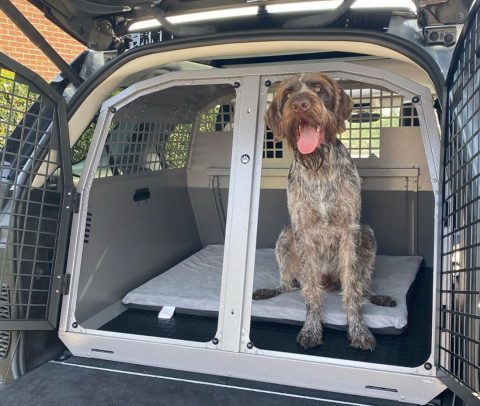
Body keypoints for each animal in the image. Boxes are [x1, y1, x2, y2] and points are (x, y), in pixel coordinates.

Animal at [253, 73, 396, 352]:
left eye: (319, 89)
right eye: (287, 94)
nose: (300, 104)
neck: (318, 167)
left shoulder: (350, 231)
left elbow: (352, 291)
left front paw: (358, 329)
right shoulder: (302, 232)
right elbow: (309, 290)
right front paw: (311, 327)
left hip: (367, 235)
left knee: (363, 287)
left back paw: (377, 296)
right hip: (285, 237)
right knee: (288, 286)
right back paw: (270, 291)